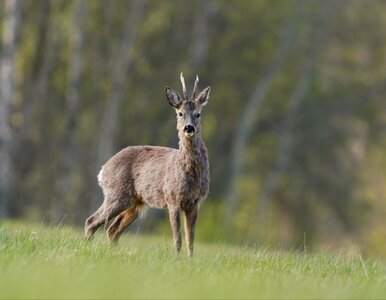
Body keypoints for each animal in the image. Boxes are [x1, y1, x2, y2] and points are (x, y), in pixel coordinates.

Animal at [85, 74, 211, 256]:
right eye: (180, 113)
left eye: (198, 114)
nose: (189, 128)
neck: (190, 173)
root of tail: (102, 171)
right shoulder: (172, 198)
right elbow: (178, 239)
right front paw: (176, 258)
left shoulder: (195, 203)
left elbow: (191, 241)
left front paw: (190, 260)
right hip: (117, 195)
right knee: (92, 221)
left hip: (135, 203)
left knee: (112, 229)